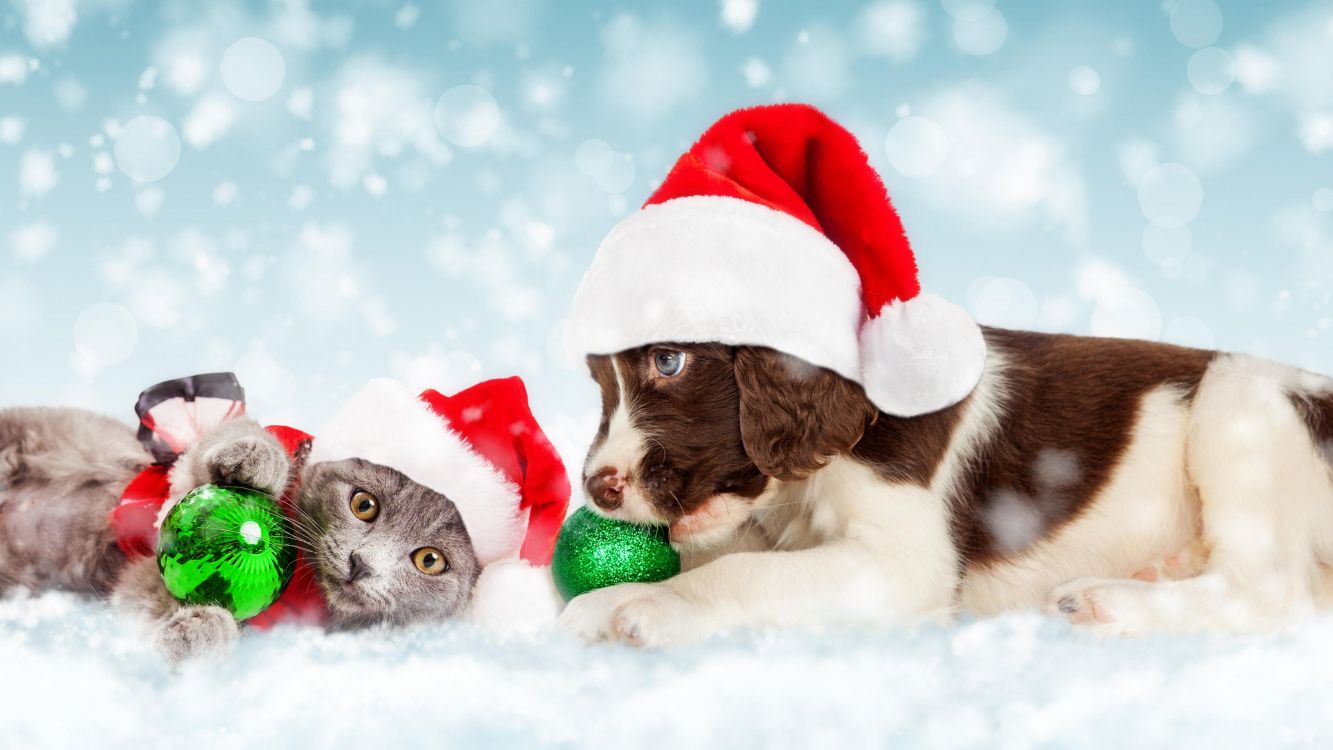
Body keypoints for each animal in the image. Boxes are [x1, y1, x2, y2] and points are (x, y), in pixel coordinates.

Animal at [0, 407, 479, 660]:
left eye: (430, 560)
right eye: (364, 504)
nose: (362, 564)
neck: (306, 583)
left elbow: (141, 600)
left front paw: (196, 631)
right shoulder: (181, 471)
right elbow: (225, 439)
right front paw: (253, 458)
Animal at [557, 331, 1333, 647]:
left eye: (669, 362)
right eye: (597, 383)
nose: (595, 488)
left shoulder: (903, 564)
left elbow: (741, 572)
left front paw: (637, 604)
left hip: (1240, 399)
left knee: (1268, 590)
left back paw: (1104, 602)